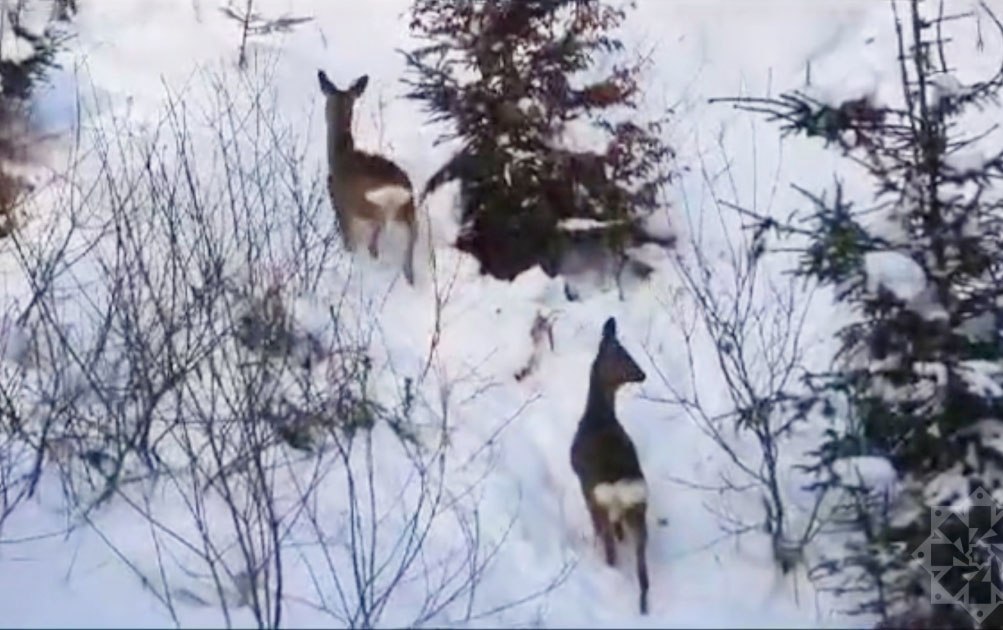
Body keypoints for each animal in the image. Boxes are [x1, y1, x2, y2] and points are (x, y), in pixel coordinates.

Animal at [316, 70, 419, 284]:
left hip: (372, 208)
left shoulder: (341, 205)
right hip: (411, 221)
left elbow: (348, 240)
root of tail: (402, 195)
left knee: (374, 241)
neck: (340, 154)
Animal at [573, 317, 649, 613]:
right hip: (639, 507)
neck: (597, 416)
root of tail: (619, 483)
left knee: (610, 549)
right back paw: (643, 606)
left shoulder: (584, 487)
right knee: (642, 570)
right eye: (624, 355)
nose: (642, 374)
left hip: (600, 498)